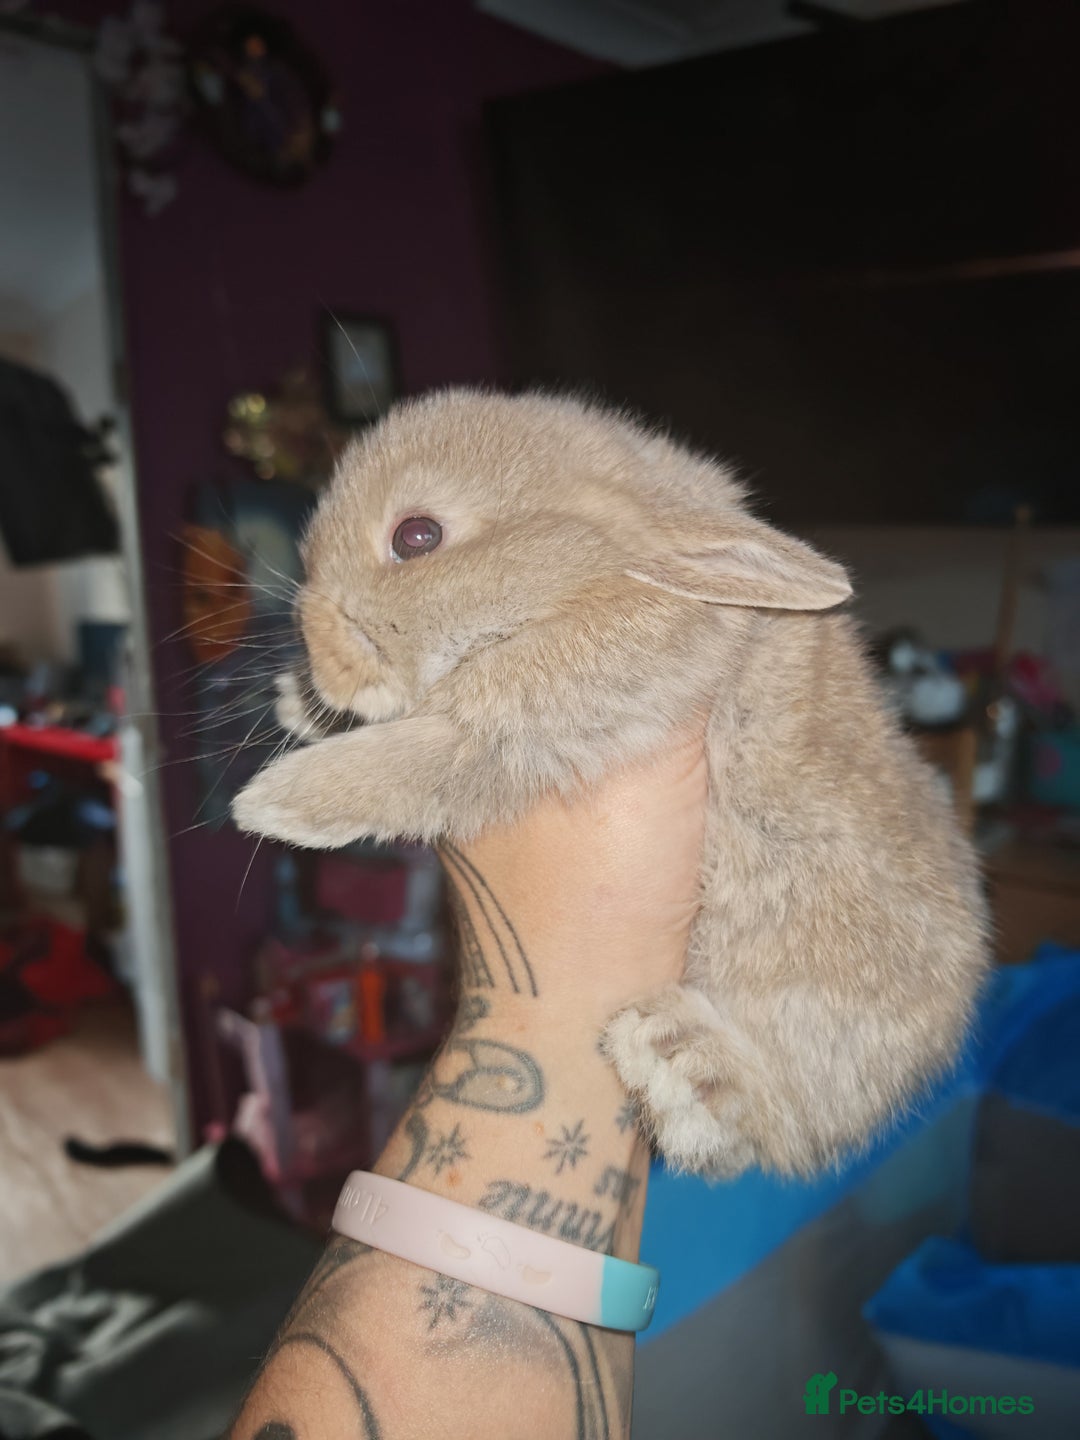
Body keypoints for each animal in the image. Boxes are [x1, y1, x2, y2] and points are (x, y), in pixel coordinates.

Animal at [232, 388, 990, 1178]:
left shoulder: (546, 715)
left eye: (417, 536)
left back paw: (686, 1059)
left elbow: (432, 757)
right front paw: (299, 704)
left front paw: (274, 802)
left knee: (766, 1121)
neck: (595, 571)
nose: (322, 663)